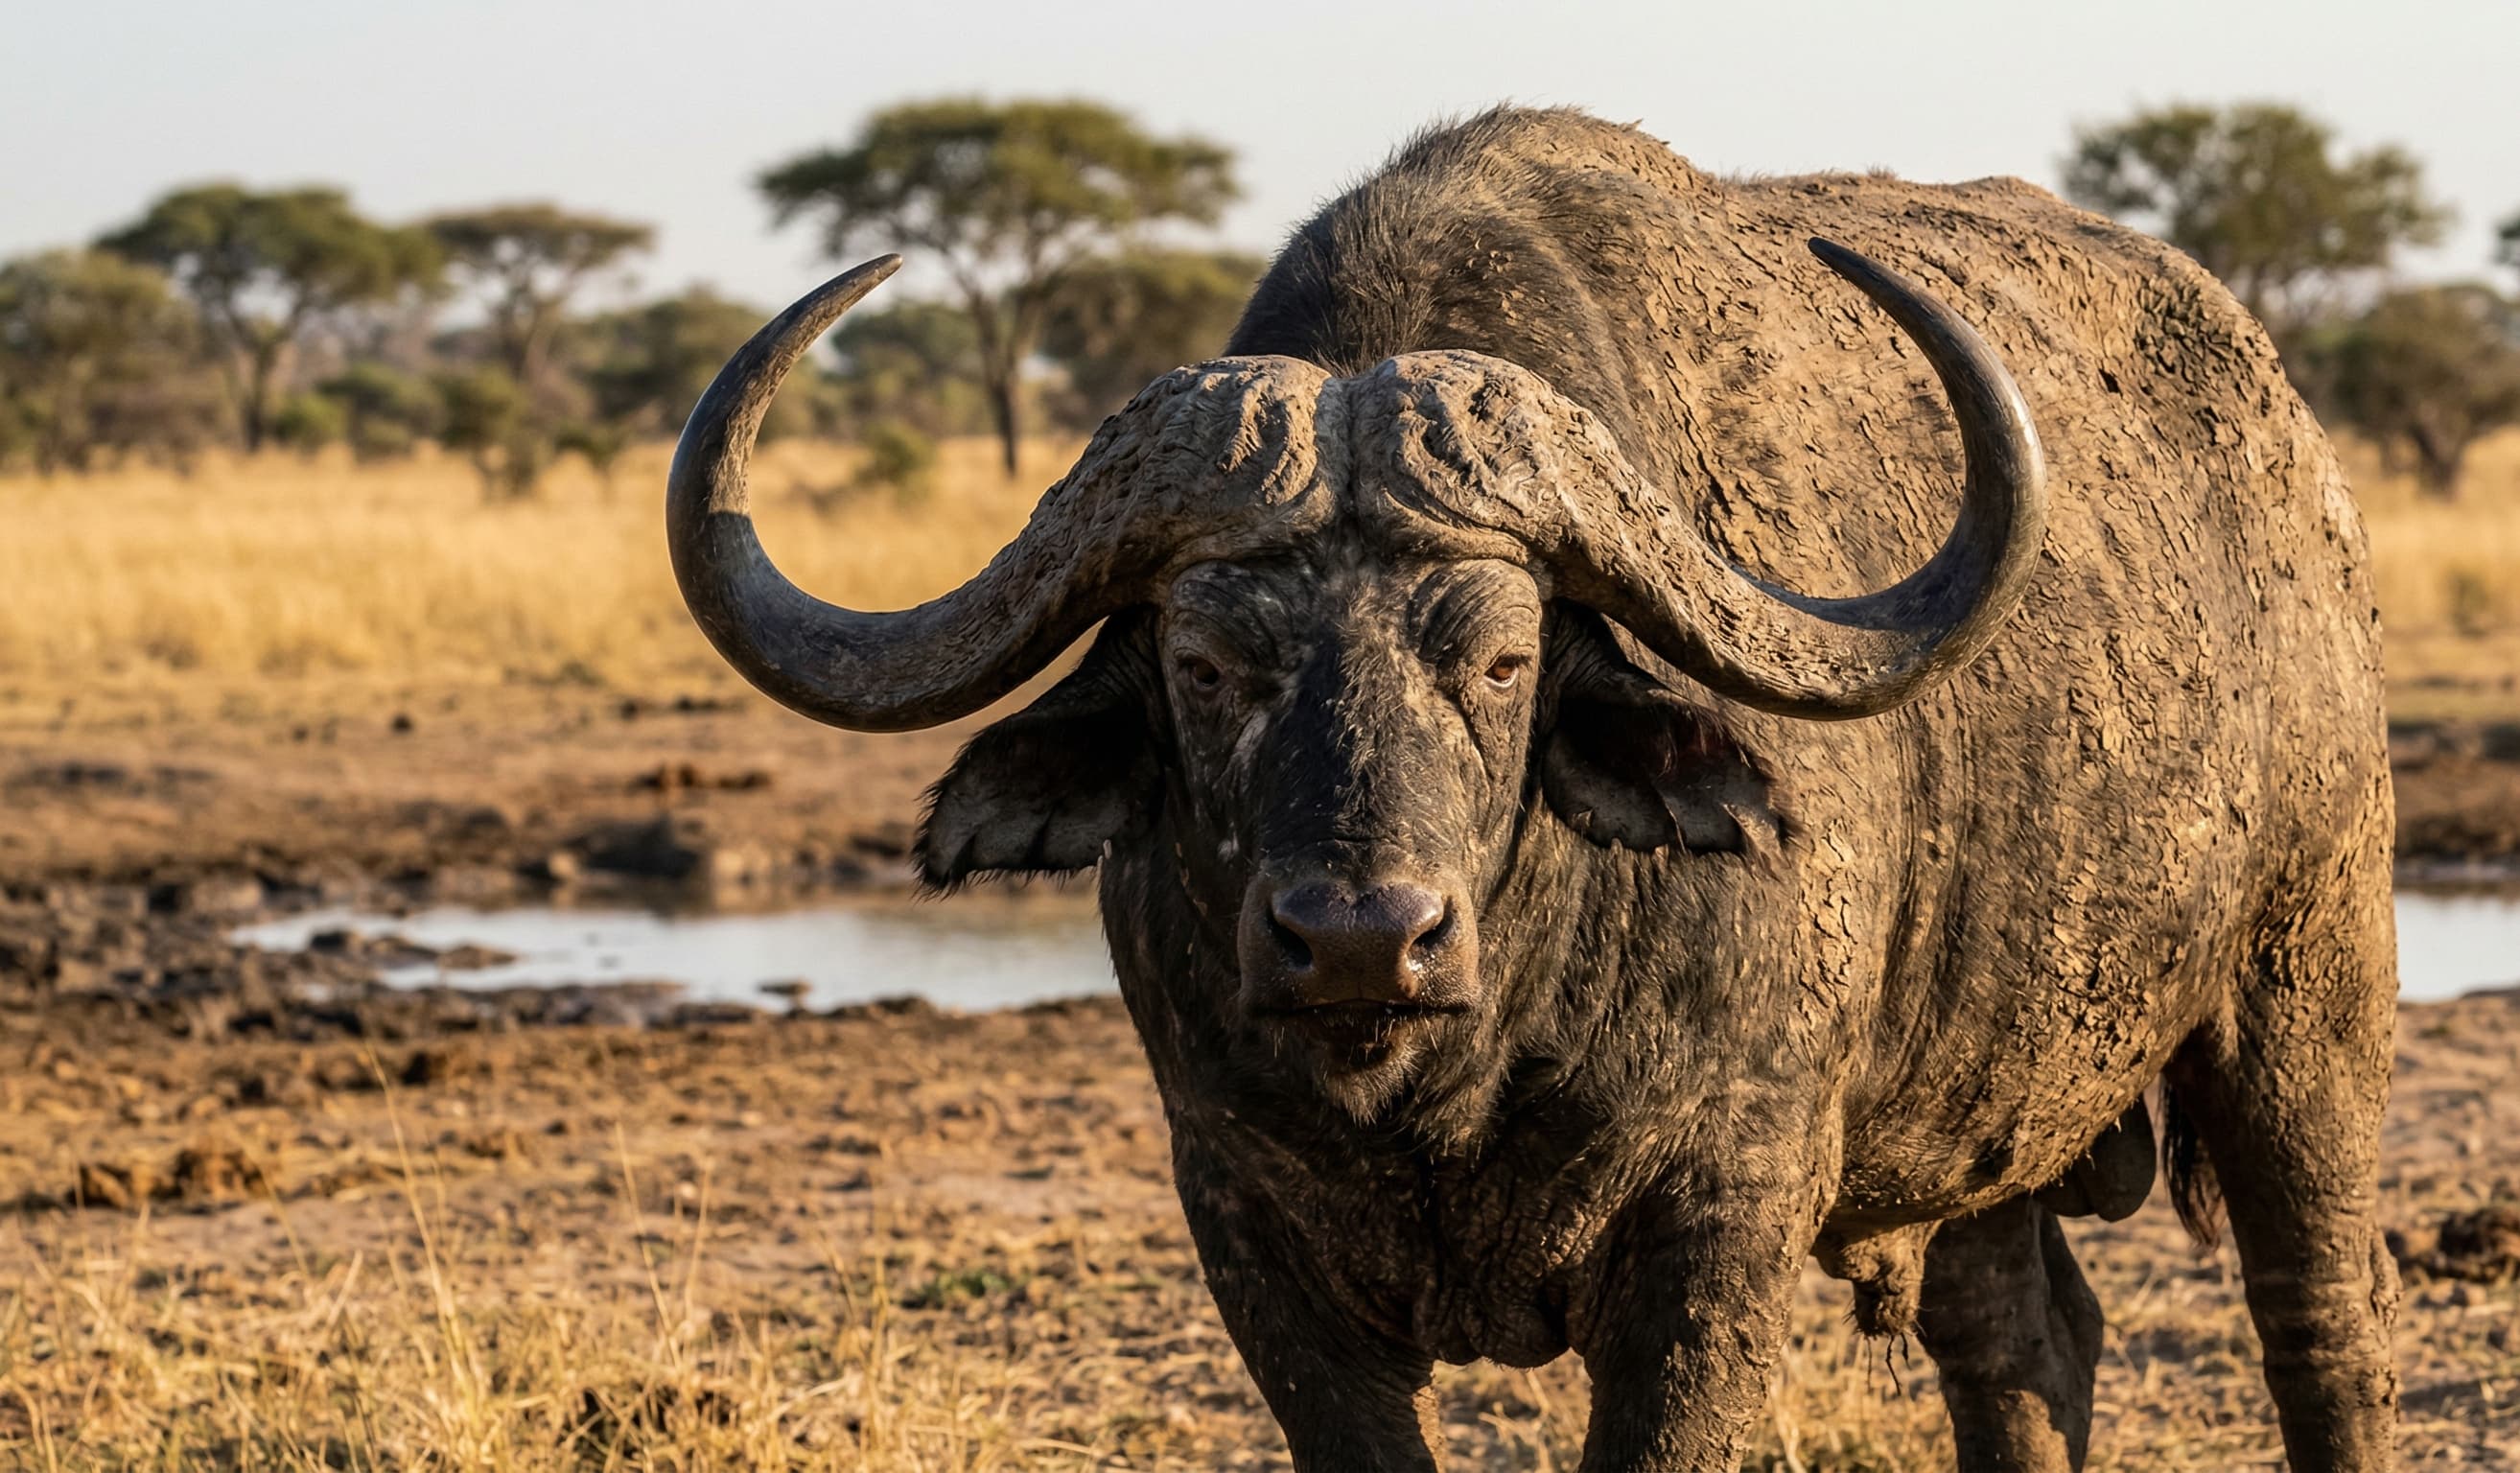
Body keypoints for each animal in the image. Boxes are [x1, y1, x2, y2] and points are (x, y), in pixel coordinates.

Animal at [667, 108, 2398, 1471]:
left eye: (1499, 659)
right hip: (1986, 1112)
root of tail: (2291, 451)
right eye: (1205, 663)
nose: (1359, 941)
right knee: (2021, 1344)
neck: (1456, 1069)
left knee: (2322, 1317)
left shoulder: (1717, 1239)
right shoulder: (1250, 1242)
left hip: (2306, 1005)